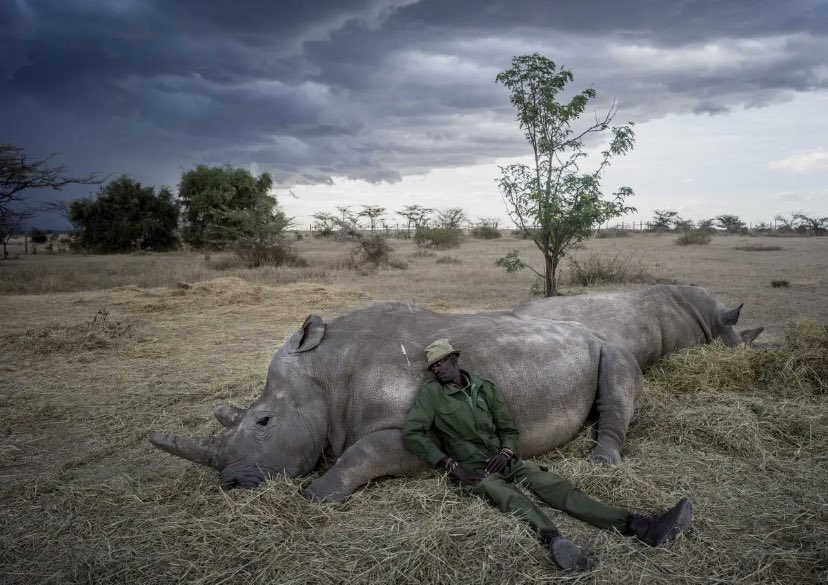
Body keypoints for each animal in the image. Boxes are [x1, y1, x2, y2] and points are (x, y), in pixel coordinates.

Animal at [150, 302, 644, 501]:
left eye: (264, 422)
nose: (231, 484)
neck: (325, 373)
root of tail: (591, 331)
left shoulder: (421, 434)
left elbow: (363, 451)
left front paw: (317, 494)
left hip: (608, 346)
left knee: (617, 378)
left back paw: (601, 462)